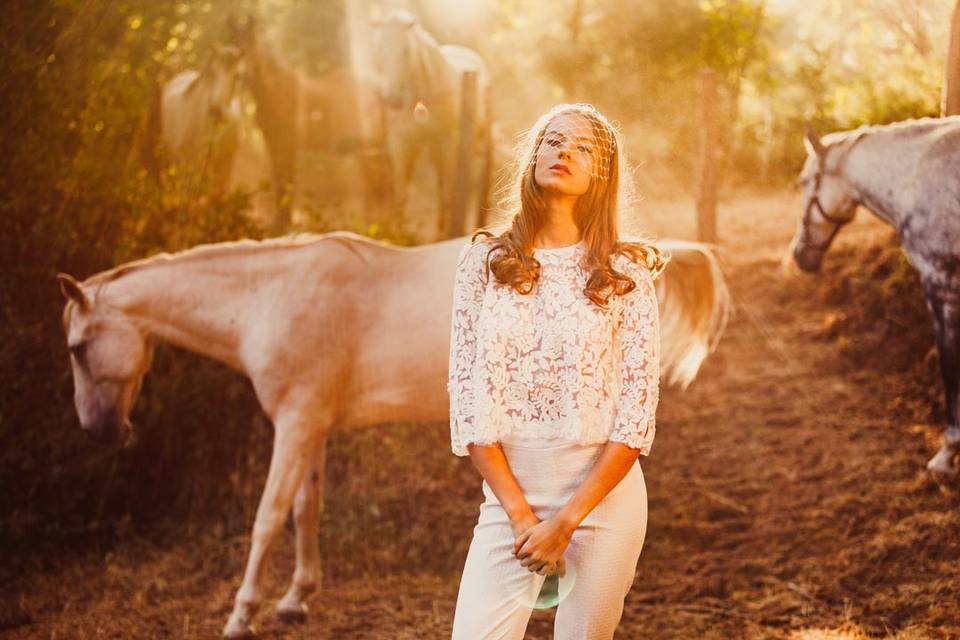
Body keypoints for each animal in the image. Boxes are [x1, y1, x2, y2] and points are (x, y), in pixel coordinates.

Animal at [370, 9, 492, 238]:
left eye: (406, 50)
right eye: (379, 50)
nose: (393, 100)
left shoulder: (447, 142)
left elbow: (446, 191)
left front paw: (443, 236)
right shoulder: (400, 143)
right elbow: (401, 195)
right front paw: (397, 236)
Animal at [788, 117, 960, 482]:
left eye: (804, 182)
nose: (798, 255)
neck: (917, 176)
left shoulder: (940, 285)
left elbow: (950, 368)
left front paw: (946, 454)